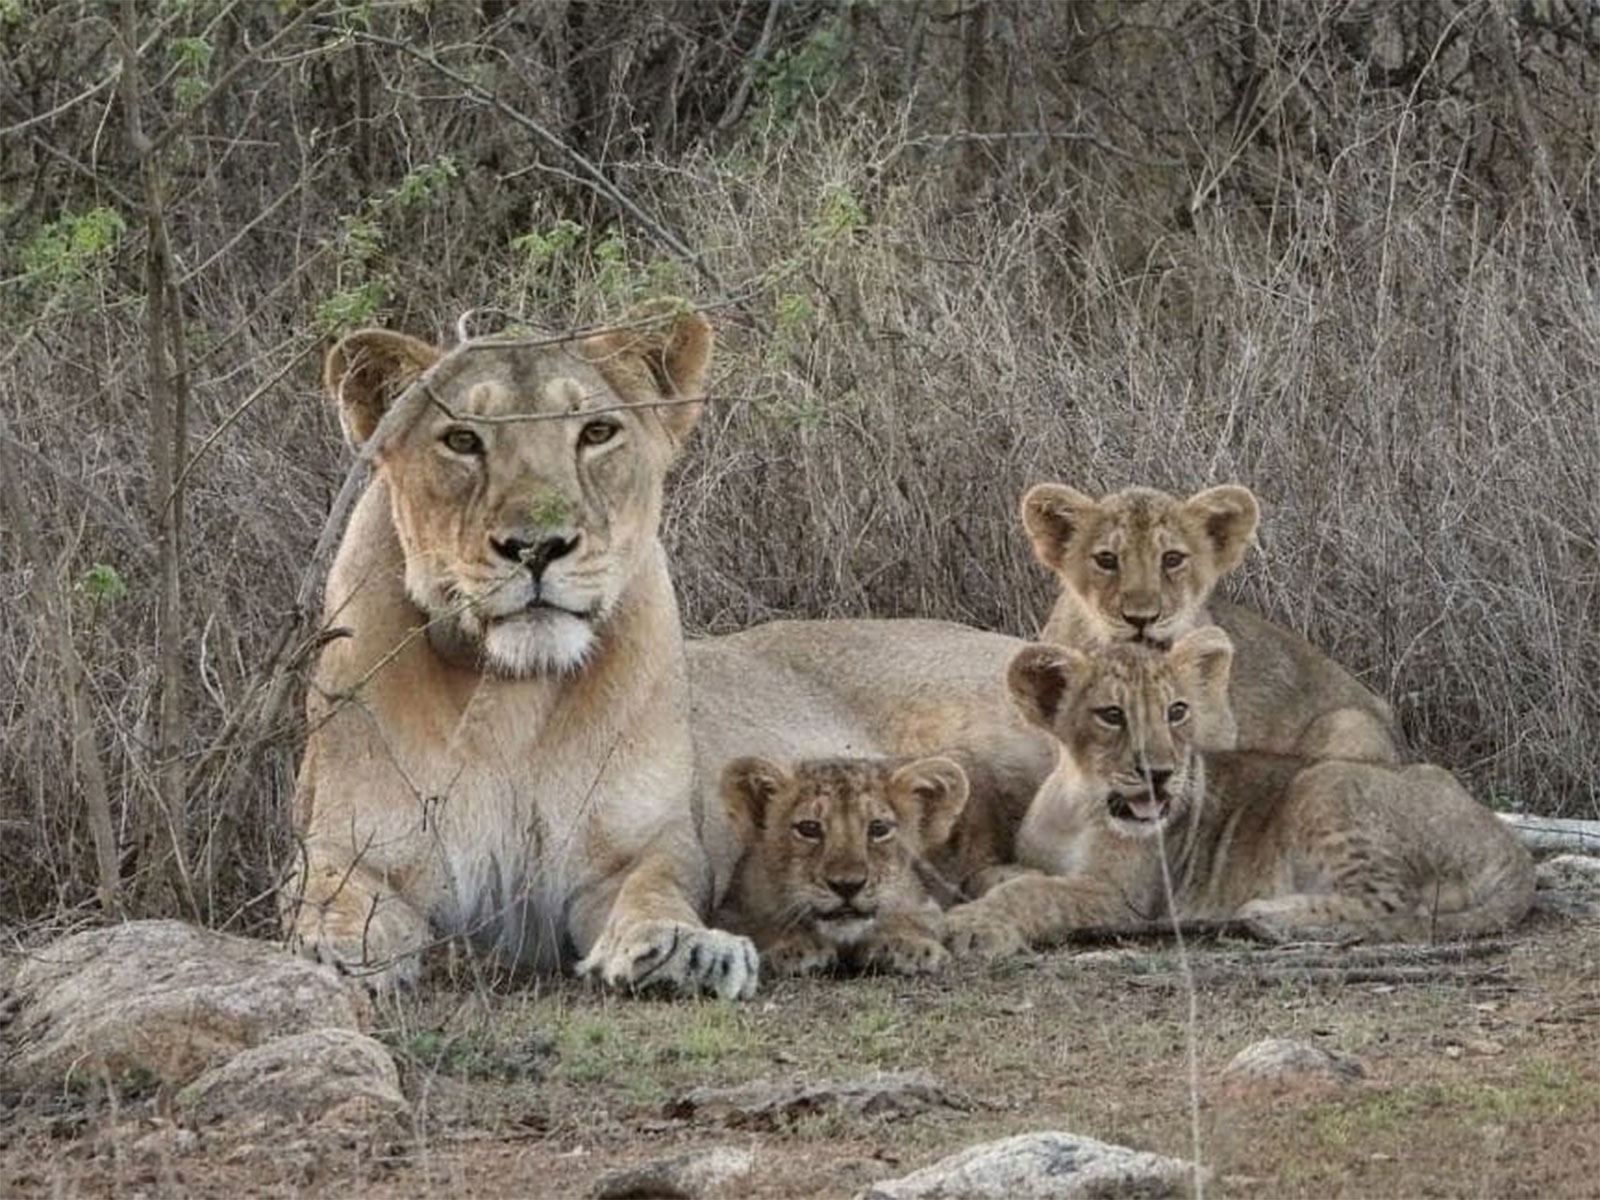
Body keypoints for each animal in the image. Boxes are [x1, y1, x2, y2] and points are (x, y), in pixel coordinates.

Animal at [282, 301, 758, 999]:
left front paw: (686, 951)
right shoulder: (351, 849)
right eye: (462, 441)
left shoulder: (635, 849)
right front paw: (335, 958)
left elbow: (655, 889)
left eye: (596, 433)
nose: (537, 547)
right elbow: (329, 900)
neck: (512, 692)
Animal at [713, 755, 969, 976]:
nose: (847, 885)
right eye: (809, 828)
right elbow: (760, 925)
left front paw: (909, 945)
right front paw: (794, 946)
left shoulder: (924, 905)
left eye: (879, 828)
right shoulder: (731, 911)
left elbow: (918, 920)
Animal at [944, 629, 1534, 958]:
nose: (1160, 773)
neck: (1080, 802)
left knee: (1393, 905)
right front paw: (993, 885)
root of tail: (1511, 848)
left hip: (1324, 780)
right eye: (1111, 715)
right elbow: (1005, 876)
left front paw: (974, 926)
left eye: (1176, 711)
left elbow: (1034, 893)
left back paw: (1270, 913)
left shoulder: (1125, 900)